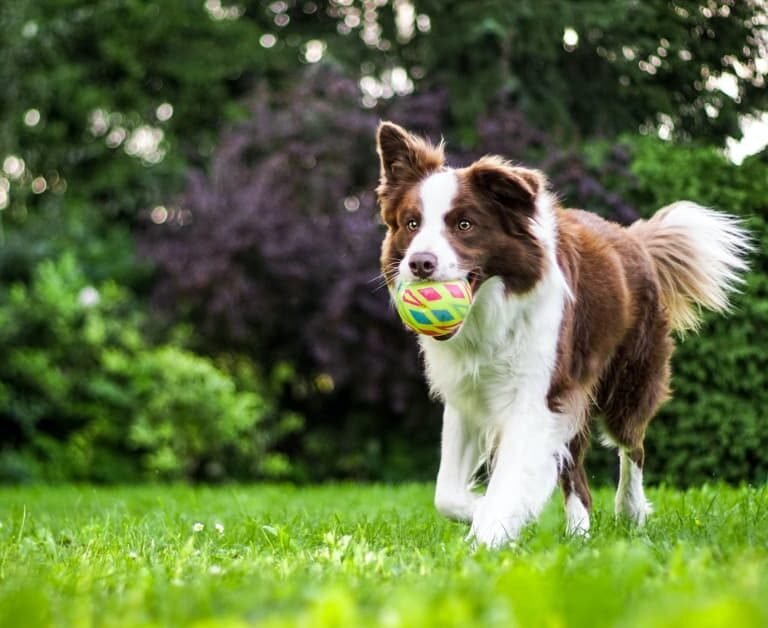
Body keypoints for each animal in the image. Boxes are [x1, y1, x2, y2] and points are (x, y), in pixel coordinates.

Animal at [376, 120, 752, 548]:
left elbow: (510, 478)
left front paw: (489, 534)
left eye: (464, 225)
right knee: (576, 472)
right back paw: (579, 533)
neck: (490, 312)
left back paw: (630, 511)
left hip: (627, 382)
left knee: (632, 446)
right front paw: (485, 511)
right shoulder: (468, 394)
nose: (420, 263)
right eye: (412, 224)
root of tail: (634, 238)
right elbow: (447, 494)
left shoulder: (537, 395)